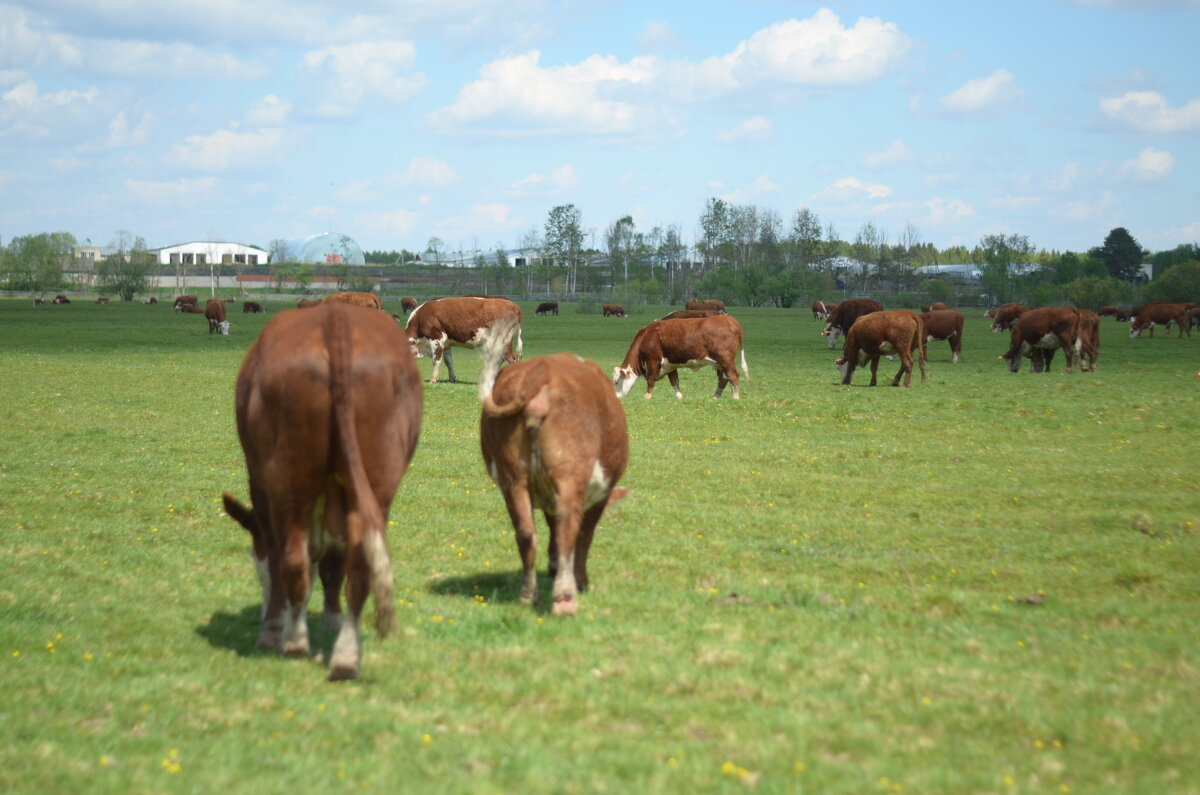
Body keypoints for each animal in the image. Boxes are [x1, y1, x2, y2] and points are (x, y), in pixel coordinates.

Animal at [220, 302, 422, 682]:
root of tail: (335, 316)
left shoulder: (261, 488)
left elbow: (280, 555)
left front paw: (274, 626)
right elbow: (332, 561)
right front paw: (331, 617)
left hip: (289, 476)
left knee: (292, 558)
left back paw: (294, 642)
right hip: (377, 479)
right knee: (360, 565)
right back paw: (345, 656)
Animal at [475, 321, 633, 619]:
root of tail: (540, 380)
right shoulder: (600, 494)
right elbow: (584, 535)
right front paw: (579, 580)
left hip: (513, 478)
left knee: (526, 532)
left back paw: (528, 595)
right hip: (569, 474)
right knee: (567, 525)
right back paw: (565, 597)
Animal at [614, 312, 744, 398]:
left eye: (615, 382)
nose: (615, 397)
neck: (646, 336)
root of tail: (728, 319)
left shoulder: (653, 361)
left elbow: (651, 380)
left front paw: (647, 397)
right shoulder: (670, 365)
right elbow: (674, 381)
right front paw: (679, 397)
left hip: (725, 360)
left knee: (733, 376)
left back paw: (735, 397)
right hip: (719, 363)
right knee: (723, 379)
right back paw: (715, 397)